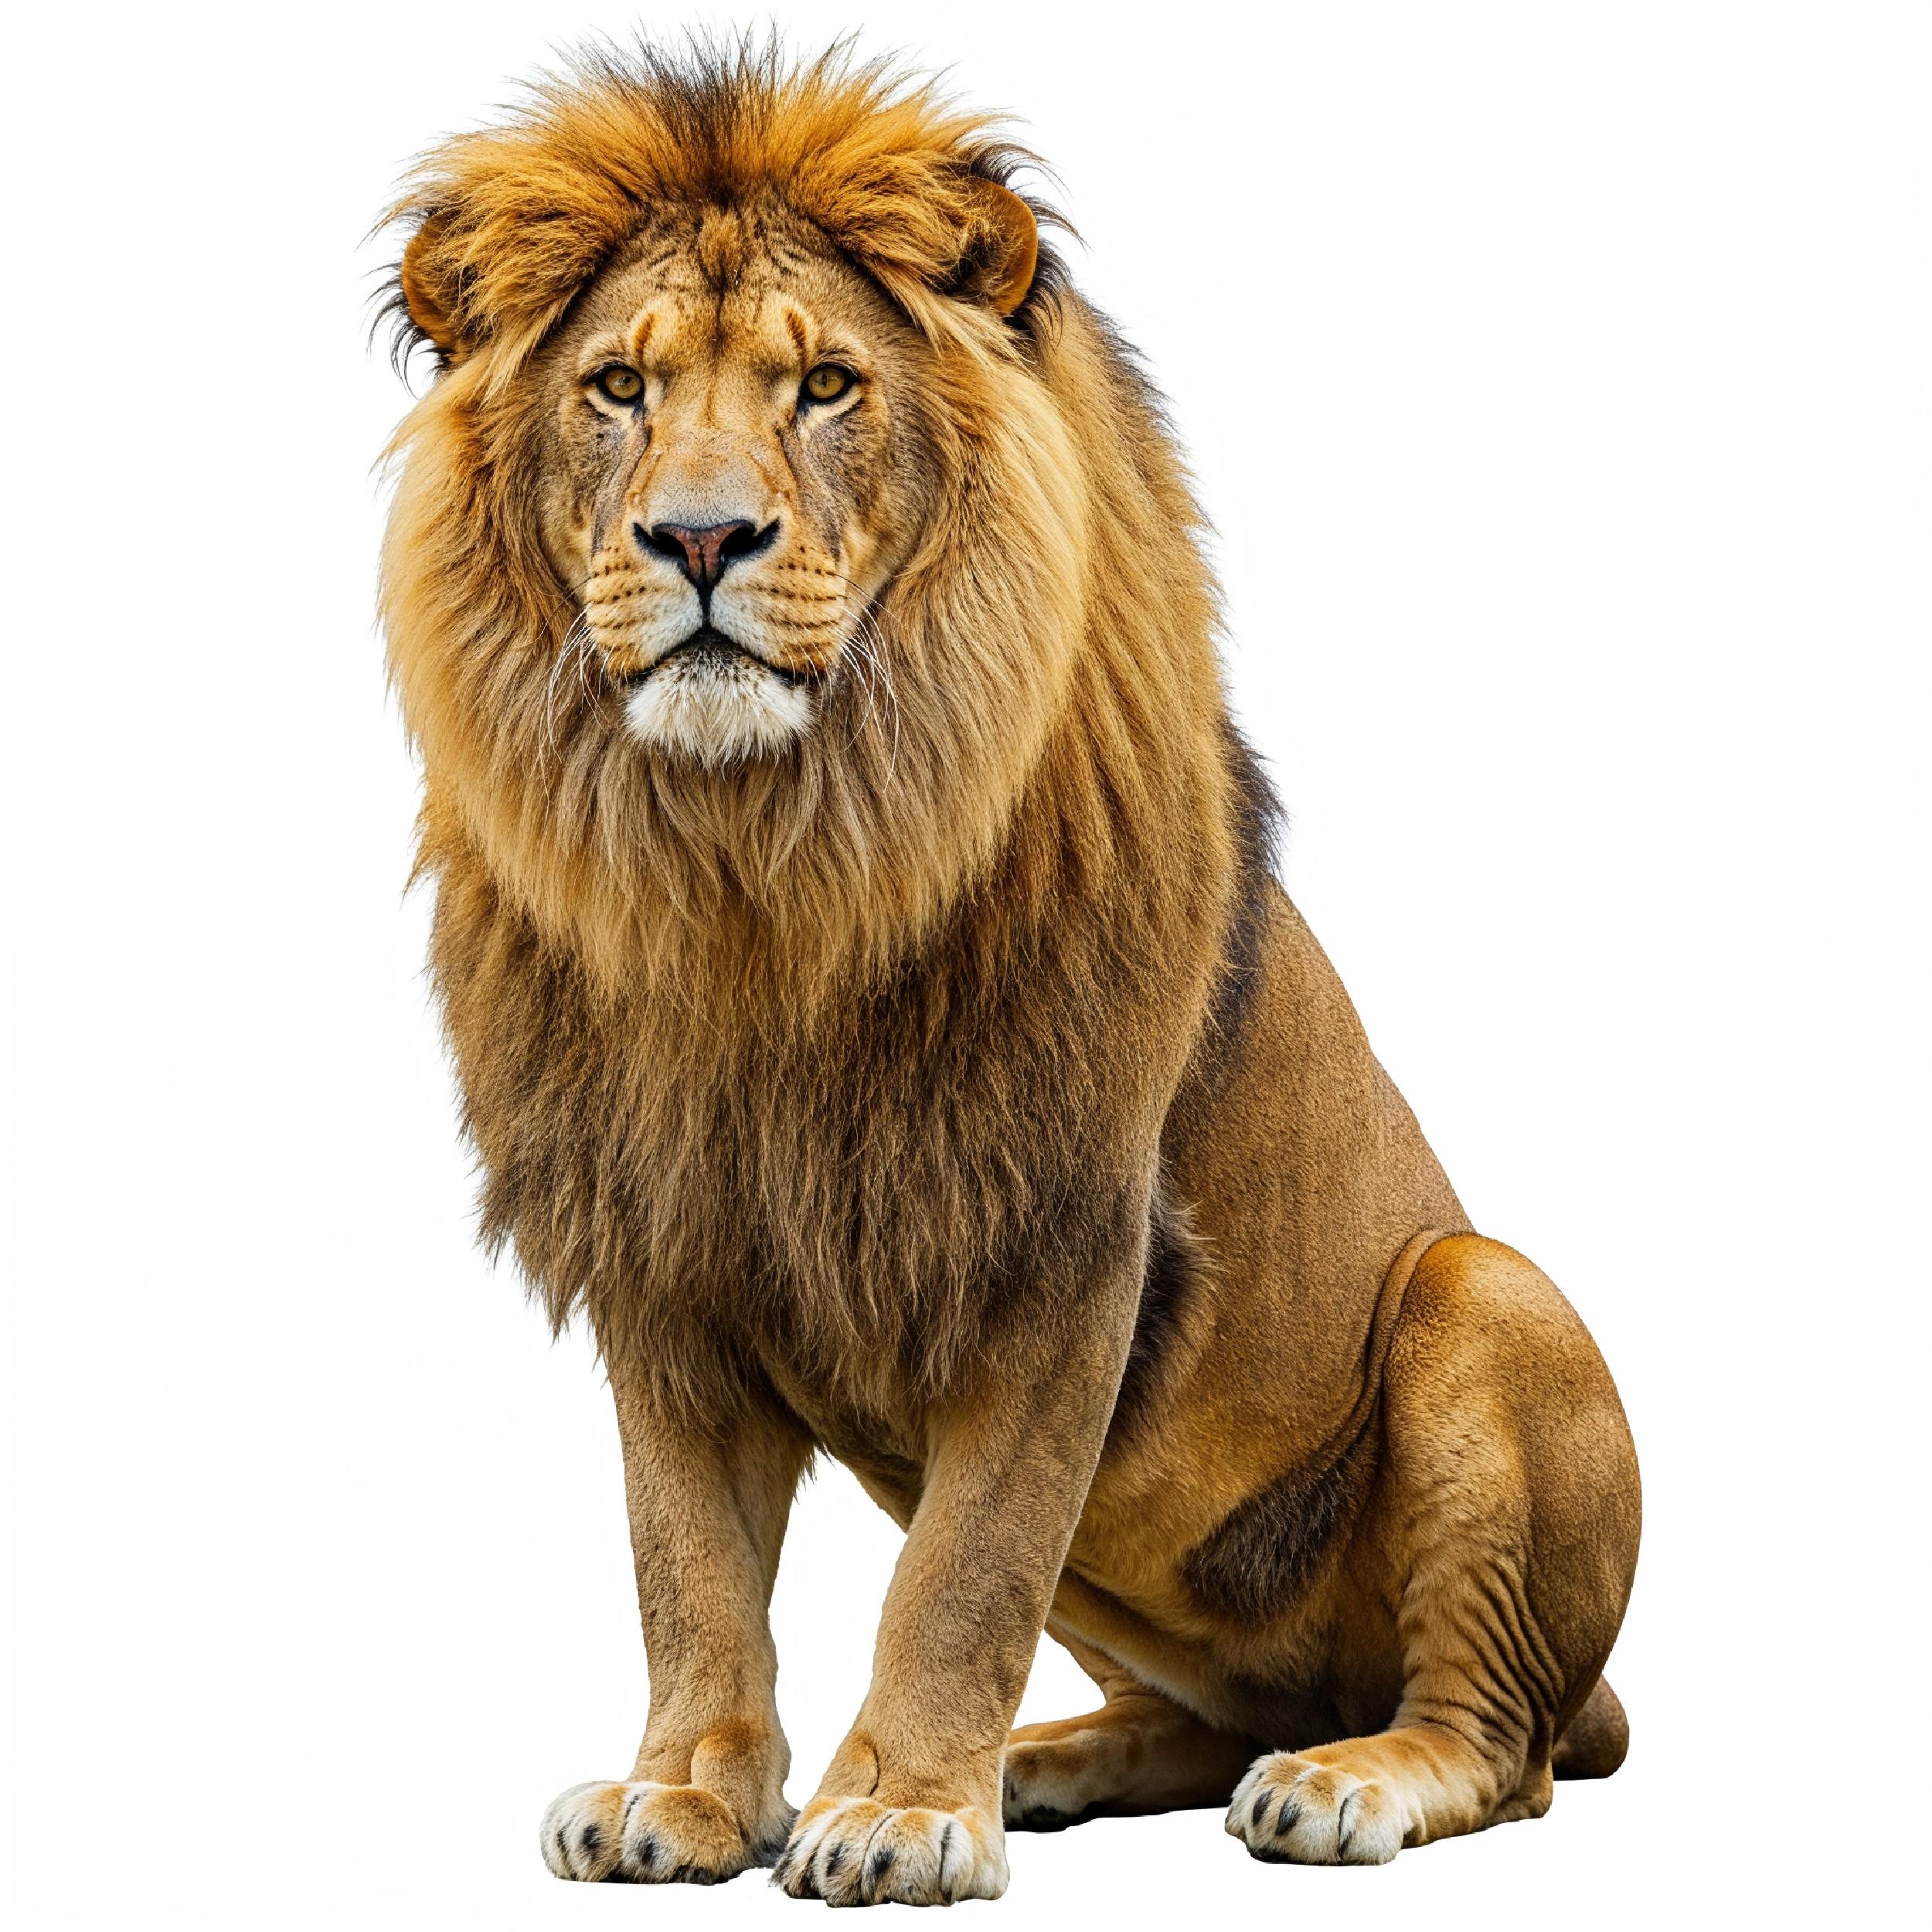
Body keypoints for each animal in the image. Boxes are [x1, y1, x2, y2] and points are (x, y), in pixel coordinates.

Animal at [378, 39, 1640, 1905]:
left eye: (826, 386)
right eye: (616, 387)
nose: (700, 540)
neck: (749, 865)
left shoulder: (1058, 1229)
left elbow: (964, 1570)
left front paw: (902, 1811)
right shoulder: (661, 1247)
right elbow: (684, 1561)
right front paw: (686, 1791)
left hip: (1483, 1296)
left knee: (1502, 1739)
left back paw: (1339, 1780)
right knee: (1200, 1708)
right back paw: (1058, 1757)